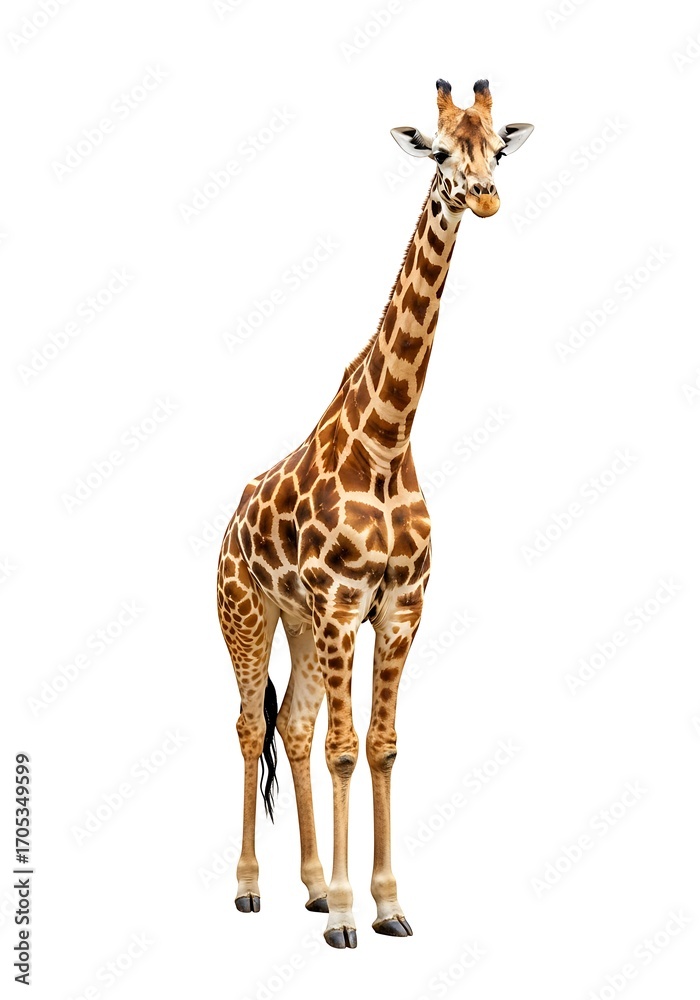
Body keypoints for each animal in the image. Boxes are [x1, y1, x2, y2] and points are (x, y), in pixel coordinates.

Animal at [217, 78, 533, 949]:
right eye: (439, 151)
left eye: (498, 149)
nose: (485, 197)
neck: (389, 442)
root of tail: (225, 525)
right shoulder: (341, 604)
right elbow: (345, 749)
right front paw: (347, 917)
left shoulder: (398, 607)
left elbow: (383, 747)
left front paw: (385, 904)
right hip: (247, 614)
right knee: (251, 727)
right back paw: (252, 889)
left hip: (296, 622)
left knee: (290, 726)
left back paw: (310, 886)